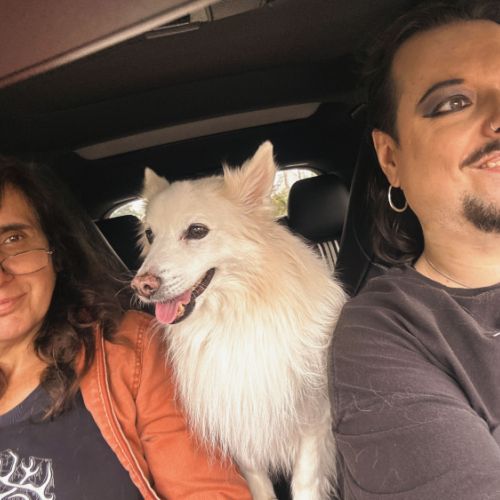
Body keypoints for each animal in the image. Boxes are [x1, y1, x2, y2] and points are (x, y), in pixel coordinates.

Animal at [131, 142, 346, 499]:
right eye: (150, 234)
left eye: (197, 231)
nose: (141, 285)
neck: (233, 315)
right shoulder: (236, 418)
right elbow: (257, 482)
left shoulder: (313, 418)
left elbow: (305, 480)